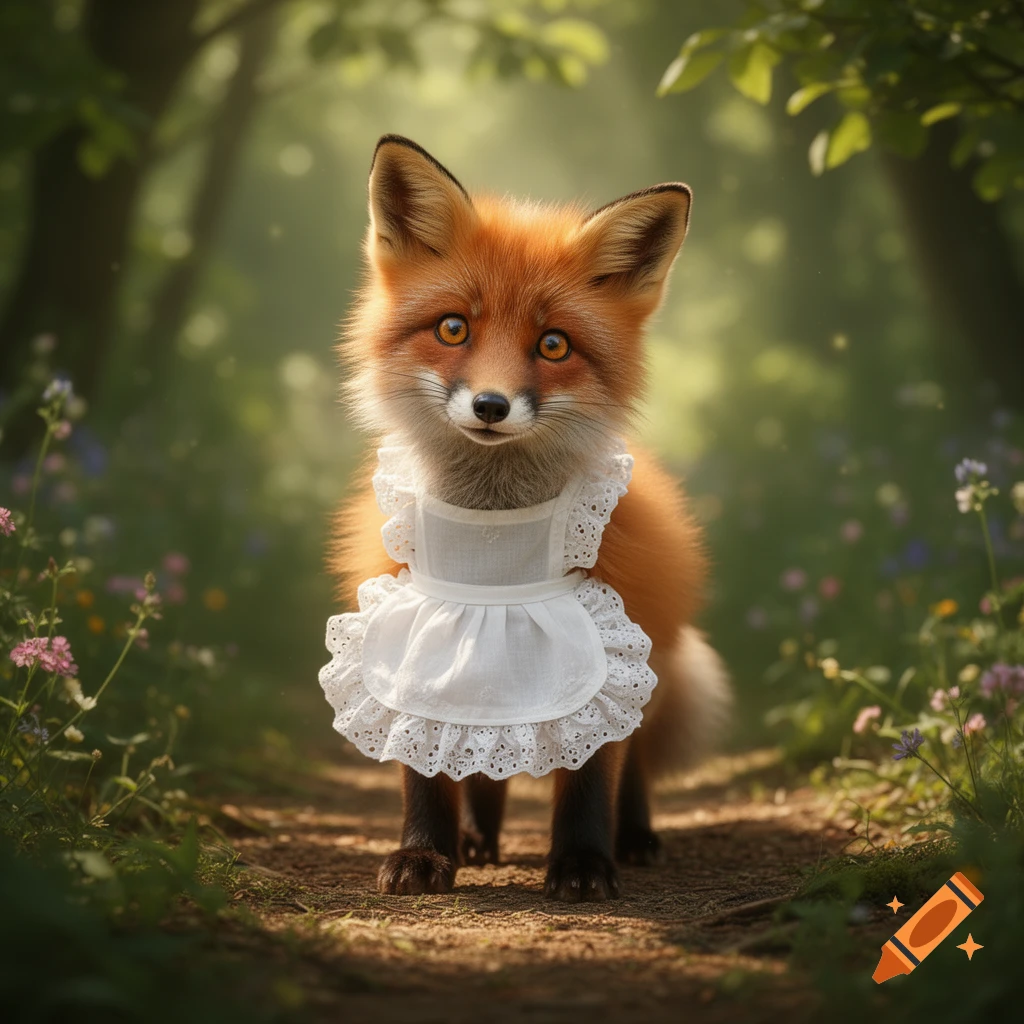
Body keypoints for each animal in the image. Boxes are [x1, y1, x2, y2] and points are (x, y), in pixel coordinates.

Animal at [329, 134, 730, 902]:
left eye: (553, 344)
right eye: (453, 328)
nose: (491, 405)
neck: (491, 527)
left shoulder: (605, 642)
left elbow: (590, 777)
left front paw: (582, 863)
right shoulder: (416, 622)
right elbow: (430, 765)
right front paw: (425, 852)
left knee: (632, 761)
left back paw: (634, 836)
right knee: (481, 760)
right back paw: (477, 839)